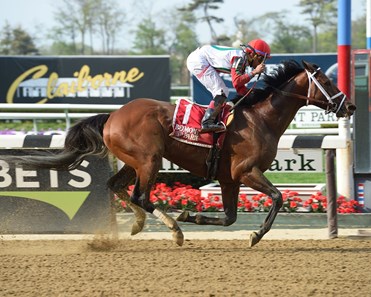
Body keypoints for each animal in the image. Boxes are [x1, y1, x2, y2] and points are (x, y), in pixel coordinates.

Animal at [9, 59, 358, 245]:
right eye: (325, 79)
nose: (350, 106)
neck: (261, 120)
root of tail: (113, 115)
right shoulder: (246, 171)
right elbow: (277, 197)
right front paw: (256, 235)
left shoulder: (229, 179)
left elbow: (230, 217)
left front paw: (193, 213)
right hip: (149, 160)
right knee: (140, 196)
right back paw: (174, 230)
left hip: (135, 161)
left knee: (116, 187)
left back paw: (141, 224)